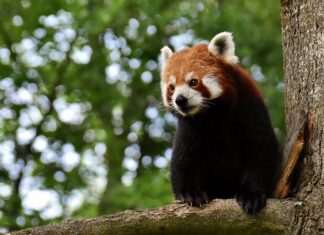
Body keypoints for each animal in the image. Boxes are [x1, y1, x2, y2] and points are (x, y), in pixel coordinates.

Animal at [161, 32, 282, 214]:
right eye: (172, 87)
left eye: (193, 82)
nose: (180, 100)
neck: (213, 115)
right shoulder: (189, 126)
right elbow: (183, 158)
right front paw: (191, 193)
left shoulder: (249, 107)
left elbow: (261, 150)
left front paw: (252, 194)